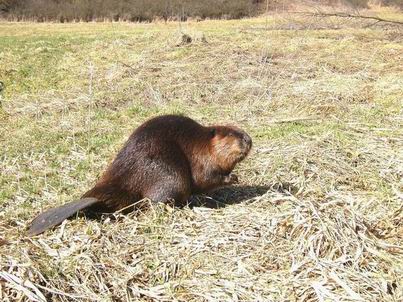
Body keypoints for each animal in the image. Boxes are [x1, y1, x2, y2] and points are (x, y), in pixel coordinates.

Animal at [27, 114, 252, 235]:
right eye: (232, 133)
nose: (249, 139)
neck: (203, 142)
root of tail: (93, 197)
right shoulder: (201, 158)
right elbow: (204, 178)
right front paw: (234, 178)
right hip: (170, 176)